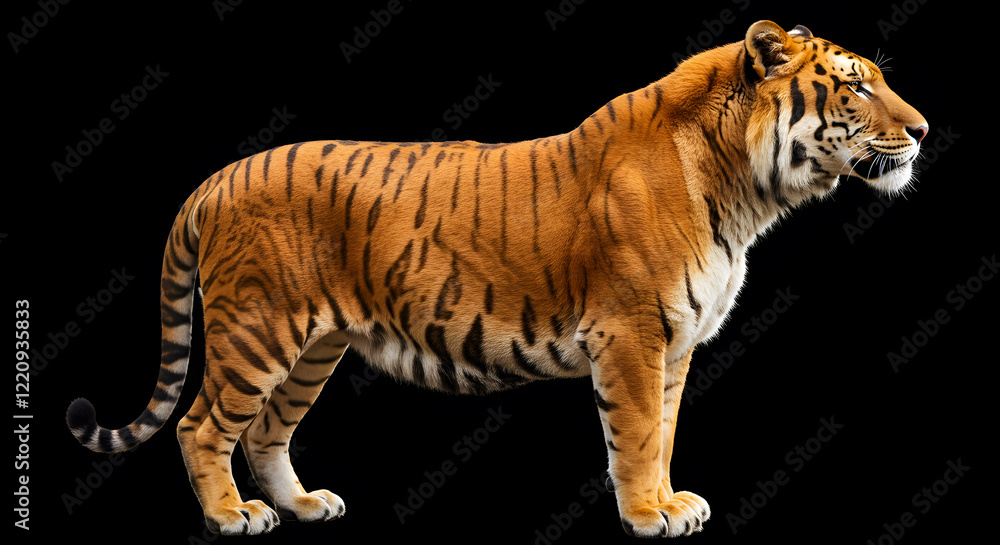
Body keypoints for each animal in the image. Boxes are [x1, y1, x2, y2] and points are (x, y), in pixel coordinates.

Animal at [66, 20, 926, 538]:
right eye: (855, 85)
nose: (921, 129)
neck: (747, 191)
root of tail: (216, 178)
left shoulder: (675, 341)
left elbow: (667, 429)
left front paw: (671, 500)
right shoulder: (629, 333)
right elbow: (637, 434)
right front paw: (648, 513)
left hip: (315, 346)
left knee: (267, 430)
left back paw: (306, 503)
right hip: (257, 331)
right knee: (201, 425)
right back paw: (233, 516)